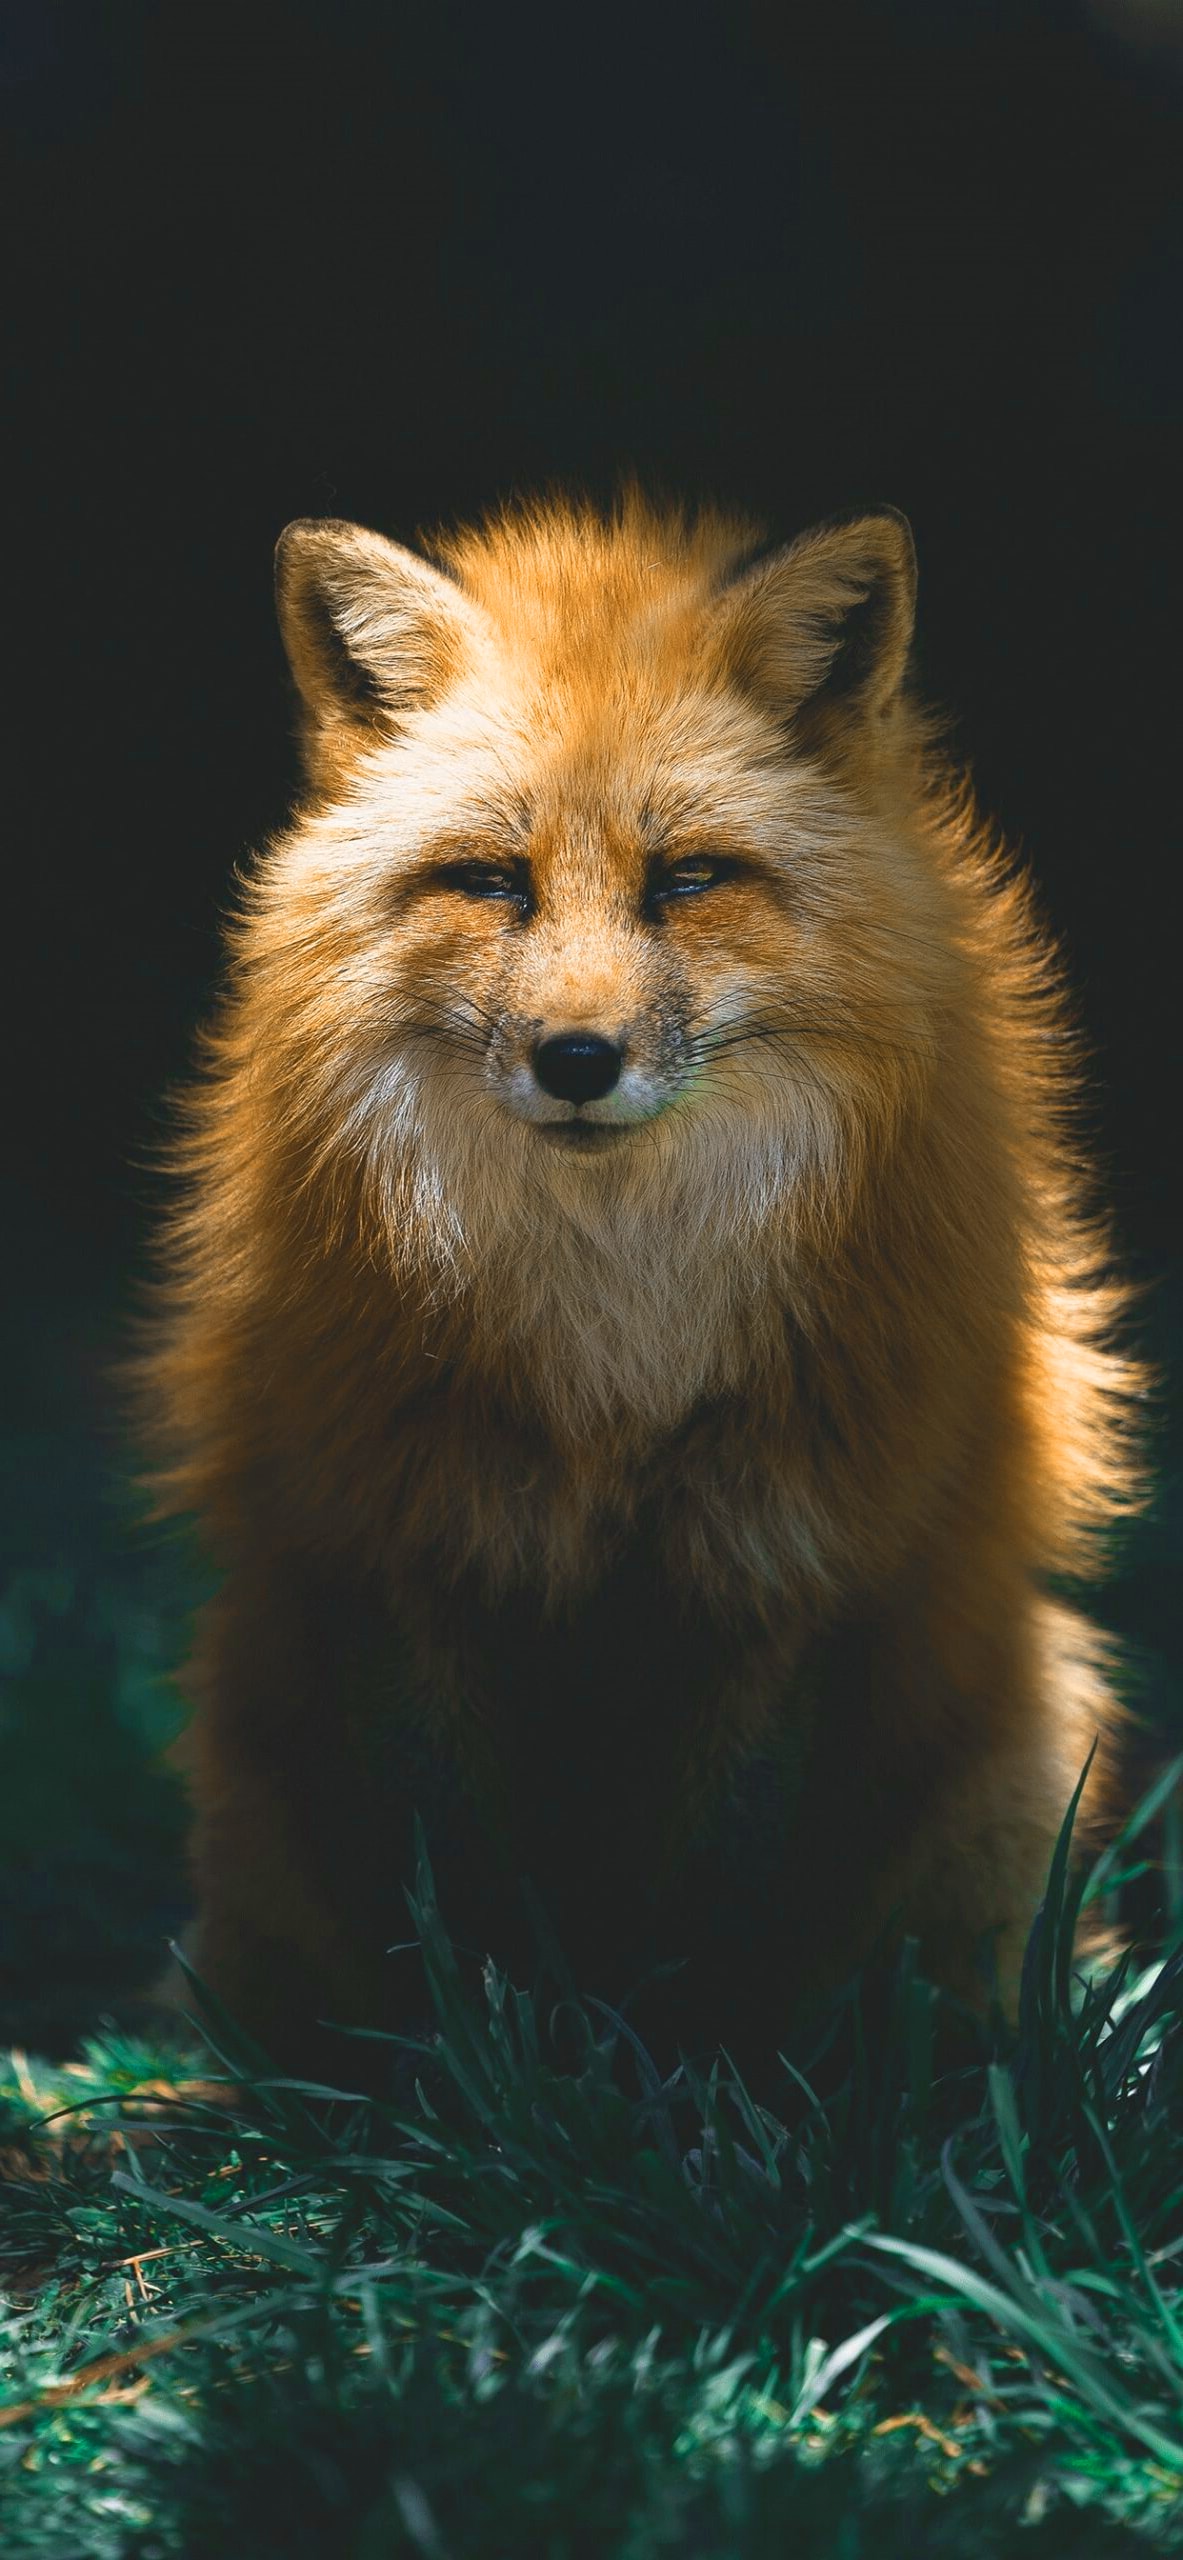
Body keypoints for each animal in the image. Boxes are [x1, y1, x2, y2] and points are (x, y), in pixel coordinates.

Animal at [139, 491, 1138, 2071]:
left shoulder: (786, 1562)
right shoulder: (415, 1549)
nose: (575, 1062)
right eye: (493, 881)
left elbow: (721, 1898)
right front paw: (478, 2084)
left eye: (688, 880)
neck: (614, 1351)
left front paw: (700, 2092)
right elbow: (459, 1888)